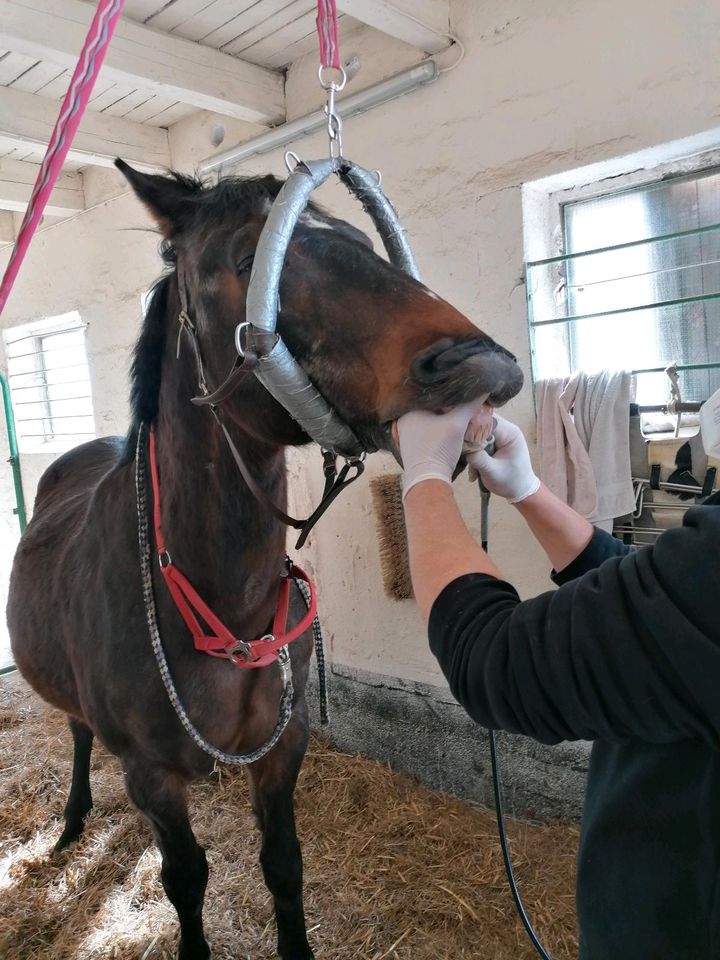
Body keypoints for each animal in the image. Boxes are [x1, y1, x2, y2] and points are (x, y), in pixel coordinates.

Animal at [5, 161, 524, 956]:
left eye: (360, 242)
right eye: (249, 261)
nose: (481, 365)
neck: (220, 602)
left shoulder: (283, 750)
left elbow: (283, 863)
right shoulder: (152, 775)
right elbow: (185, 880)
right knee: (79, 736)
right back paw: (71, 820)